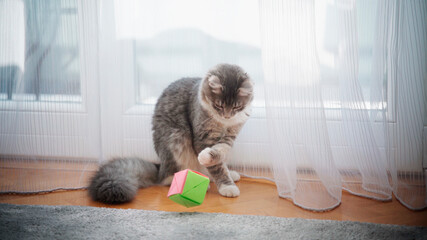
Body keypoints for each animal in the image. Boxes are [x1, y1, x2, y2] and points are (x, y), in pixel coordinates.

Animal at [88, 63, 252, 202]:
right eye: (219, 105)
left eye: (236, 107)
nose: (227, 116)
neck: (224, 123)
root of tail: (159, 167)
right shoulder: (203, 138)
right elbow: (217, 166)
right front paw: (227, 186)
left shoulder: (228, 138)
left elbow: (218, 156)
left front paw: (223, 171)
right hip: (176, 139)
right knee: (166, 179)